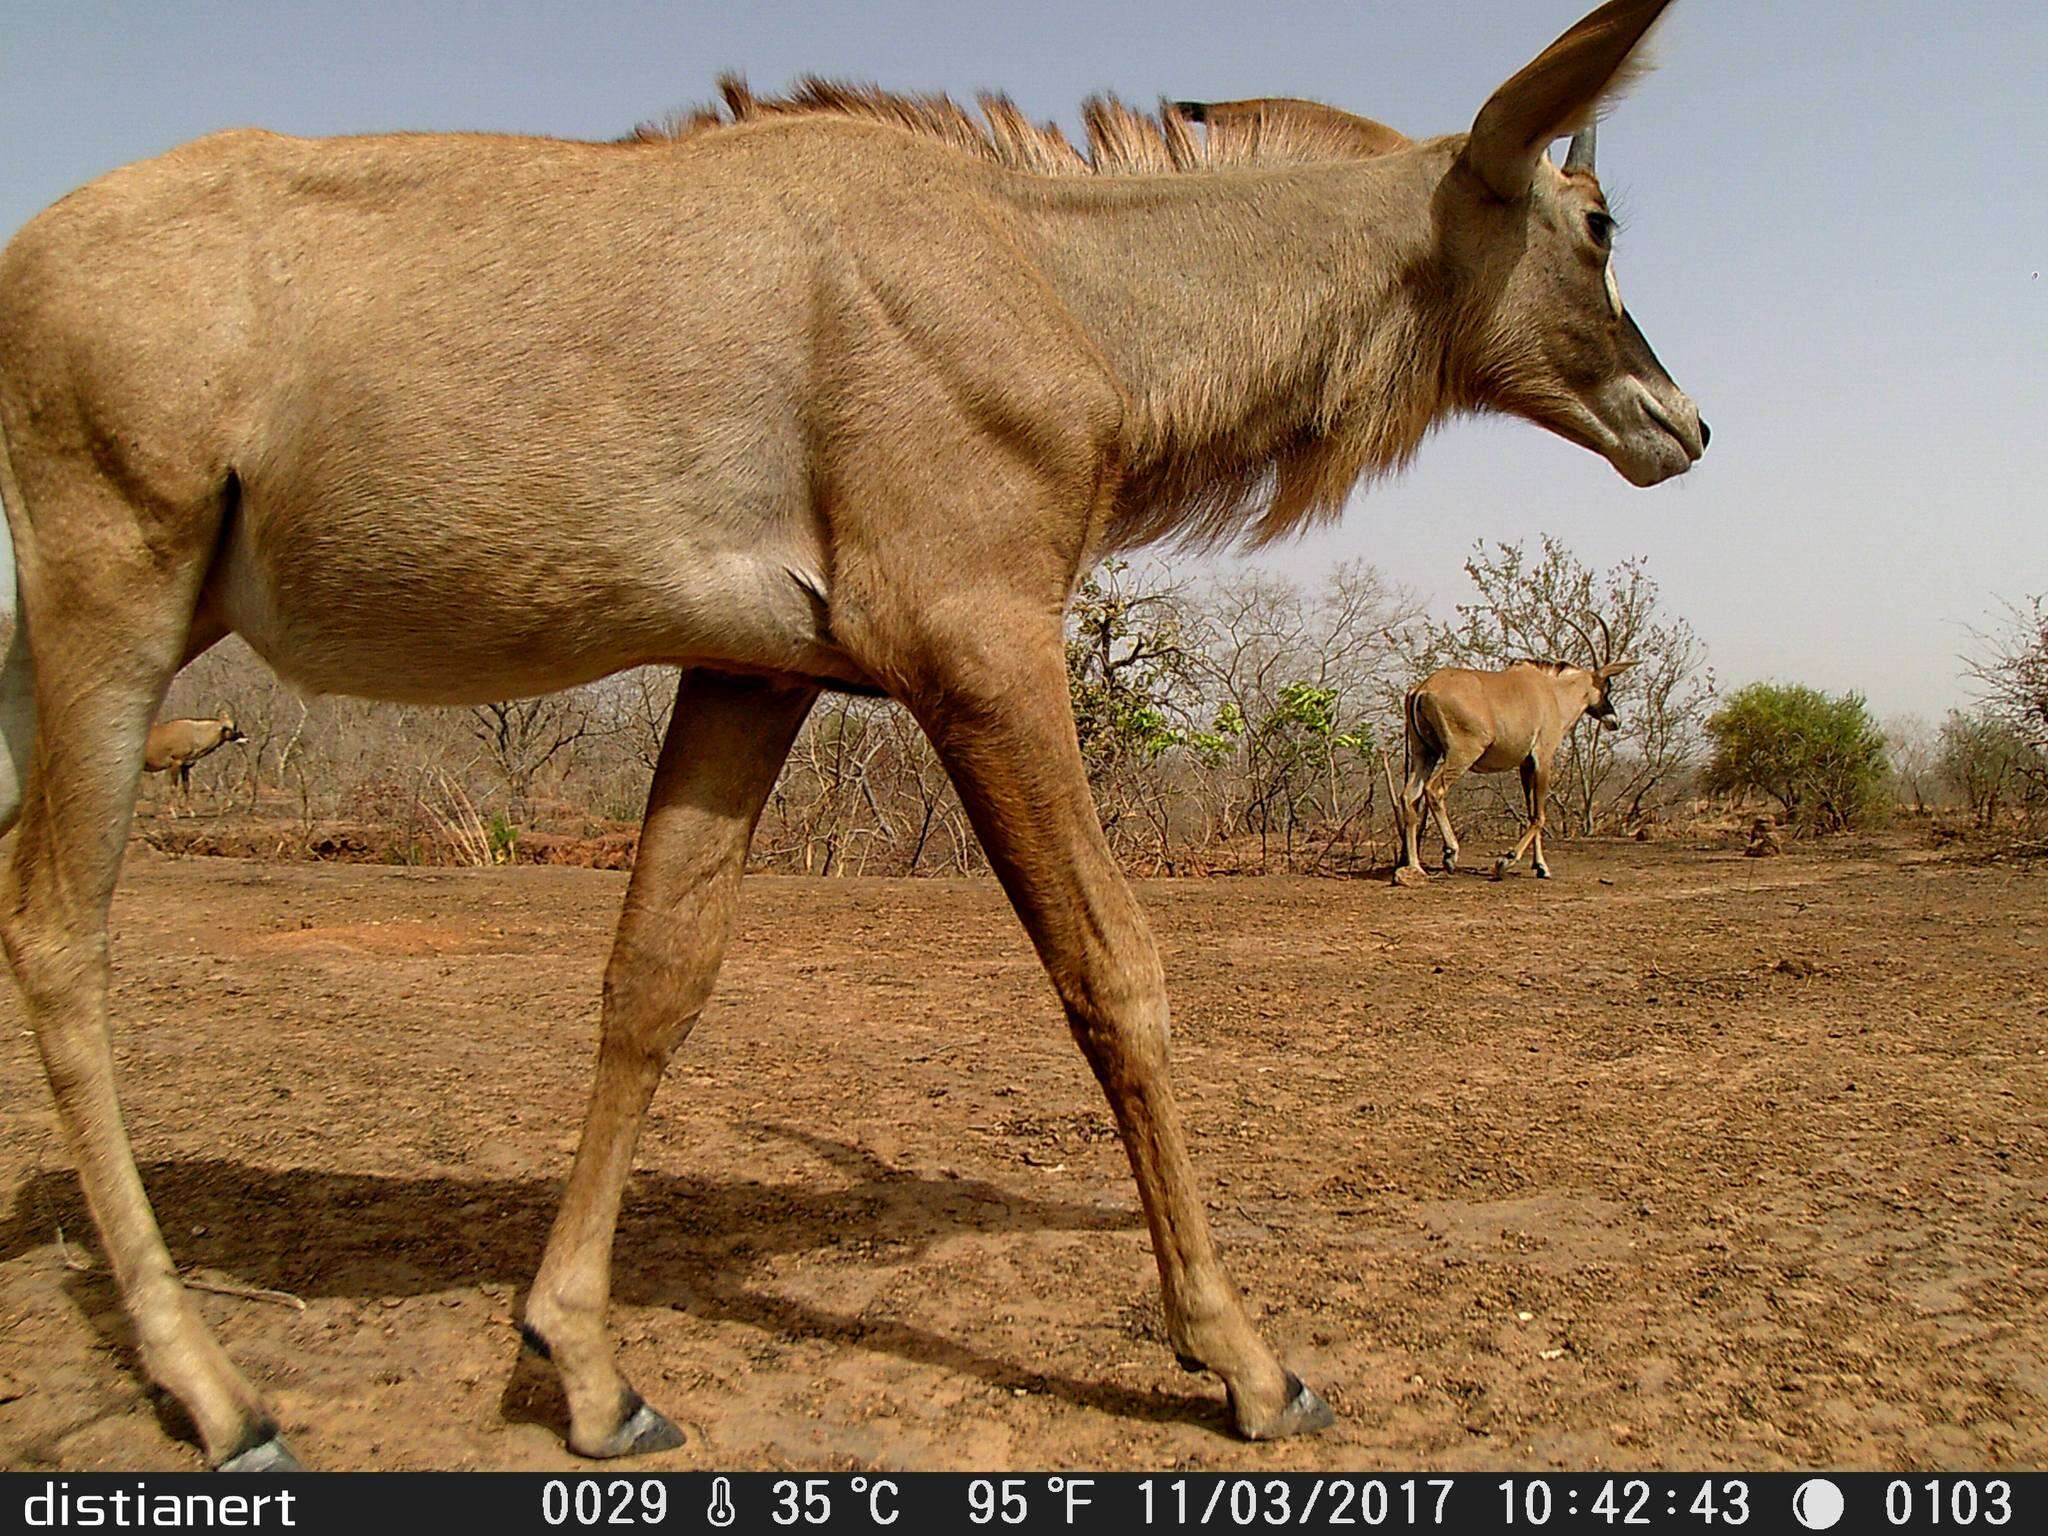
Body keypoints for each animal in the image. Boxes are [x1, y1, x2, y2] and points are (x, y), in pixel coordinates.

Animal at [1400, 610, 1638, 876]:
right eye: (1606, 686)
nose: (1614, 721)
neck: (1553, 692)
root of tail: (1423, 689)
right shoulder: (1543, 758)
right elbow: (1539, 815)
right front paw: (1507, 859)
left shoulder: (1525, 763)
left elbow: (1530, 810)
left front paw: (1540, 865)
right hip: (1461, 754)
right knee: (1434, 790)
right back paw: (1451, 853)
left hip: (1425, 753)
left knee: (1408, 796)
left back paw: (1414, 866)